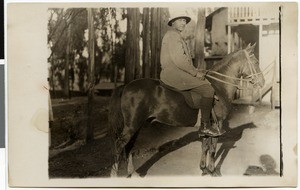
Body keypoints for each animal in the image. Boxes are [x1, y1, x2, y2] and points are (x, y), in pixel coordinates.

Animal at [109, 43, 264, 177]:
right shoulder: (217, 125)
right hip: (132, 125)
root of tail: (126, 86)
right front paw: (213, 171)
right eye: (256, 61)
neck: (218, 86)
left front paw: (204, 169)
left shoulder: (207, 127)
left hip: (137, 125)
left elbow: (205, 146)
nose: (261, 82)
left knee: (129, 146)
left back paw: (132, 172)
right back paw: (114, 175)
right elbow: (213, 149)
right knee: (119, 145)